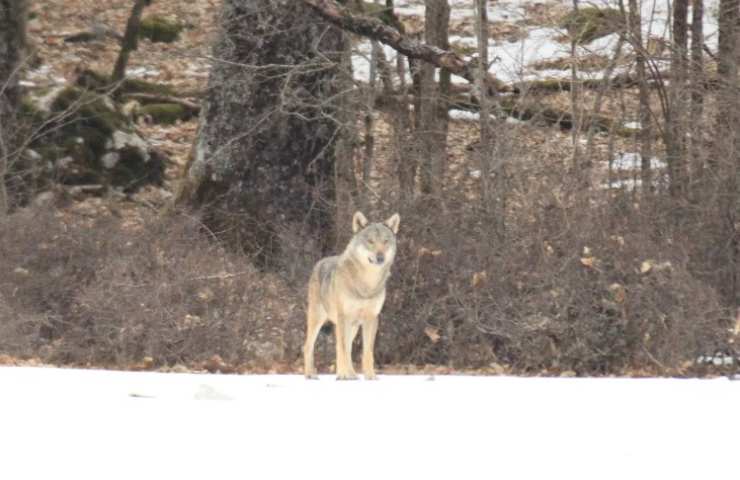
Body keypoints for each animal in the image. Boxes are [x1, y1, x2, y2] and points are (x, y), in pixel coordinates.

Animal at [304, 212, 402, 380]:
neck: (366, 284)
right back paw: (310, 374)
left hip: (353, 326)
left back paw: (351, 374)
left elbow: (367, 352)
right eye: (370, 241)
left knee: (344, 348)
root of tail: (321, 261)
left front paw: (370, 376)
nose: (380, 257)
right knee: (308, 346)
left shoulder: (372, 318)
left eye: (385, 241)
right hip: (319, 320)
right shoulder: (344, 316)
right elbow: (344, 350)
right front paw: (344, 375)